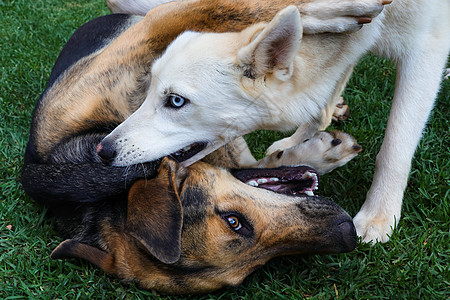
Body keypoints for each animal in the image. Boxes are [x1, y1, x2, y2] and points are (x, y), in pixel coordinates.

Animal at [99, 0, 450, 244]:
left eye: (175, 101)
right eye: (148, 90)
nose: (103, 151)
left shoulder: (425, 49)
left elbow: (395, 148)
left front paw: (380, 215)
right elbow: (320, 105)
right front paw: (300, 142)